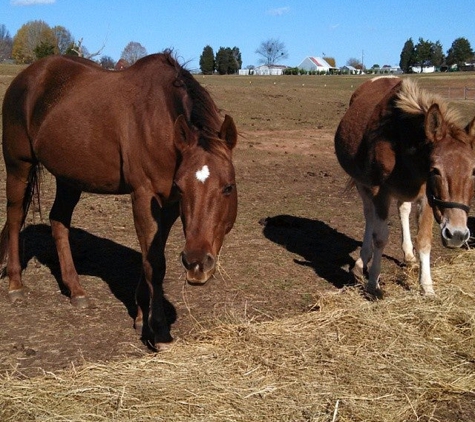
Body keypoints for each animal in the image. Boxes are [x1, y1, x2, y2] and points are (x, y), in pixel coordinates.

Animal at [0, 52, 238, 350]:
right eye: (182, 188)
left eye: (228, 187)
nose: (196, 264)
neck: (162, 126)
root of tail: (27, 76)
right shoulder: (144, 195)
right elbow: (154, 263)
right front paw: (158, 329)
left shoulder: (169, 206)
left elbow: (151, 256)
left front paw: (141, 316)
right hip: (18, 166)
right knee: (15, 216)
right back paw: (15, 285)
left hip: (69, 177)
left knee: (59, 221)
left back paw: (76, 290)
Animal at [334, 77, 475, 298]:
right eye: (435, 170)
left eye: (474, 171)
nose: (457, 234)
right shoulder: (379, 191)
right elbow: (380, 237)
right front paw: (373, 283)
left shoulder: (426, 196)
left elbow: (424, 240)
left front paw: (427, 287)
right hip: (362, 184)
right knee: (369, 215)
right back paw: (362, 261)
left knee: (403, 209)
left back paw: (408, 255)